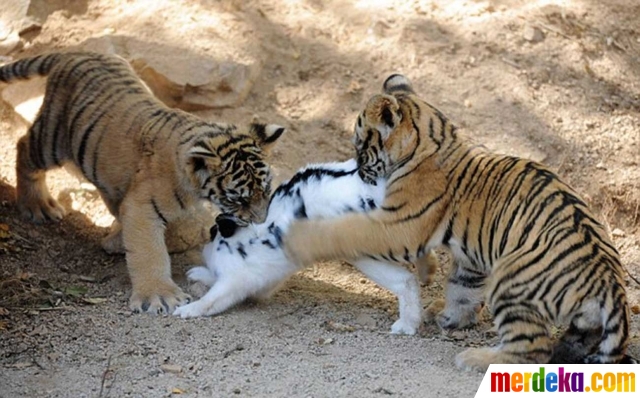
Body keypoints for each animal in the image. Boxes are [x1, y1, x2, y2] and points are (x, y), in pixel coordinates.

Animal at [174, 160, 430, 334]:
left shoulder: (237, 280)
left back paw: (405, 325)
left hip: (365, 255)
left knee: (405, 281)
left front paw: (186, 310)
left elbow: (212, 300)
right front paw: (194, 273)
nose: (210, 233)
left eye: (214, 231)